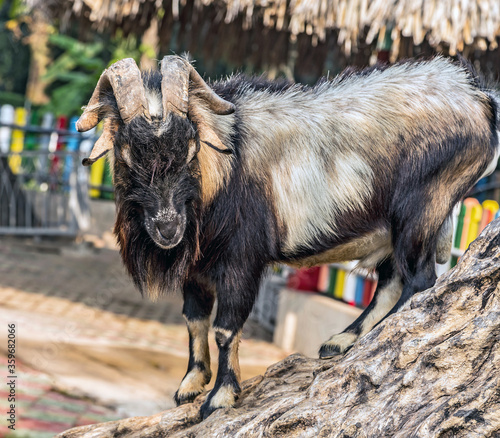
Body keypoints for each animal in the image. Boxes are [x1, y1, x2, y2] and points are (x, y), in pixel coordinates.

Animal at [77, 56, 500, 420]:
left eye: (191, 148)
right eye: (126, 154)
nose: (168, 229)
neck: (224, 168)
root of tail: (479, 97)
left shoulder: (241, 259)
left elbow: (225, 328)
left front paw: (219, 398)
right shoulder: (197, 267)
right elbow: (194, 319)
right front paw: (190, 384)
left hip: (422, 207)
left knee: (418, 281)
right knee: (391, 280)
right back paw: (342, 342)